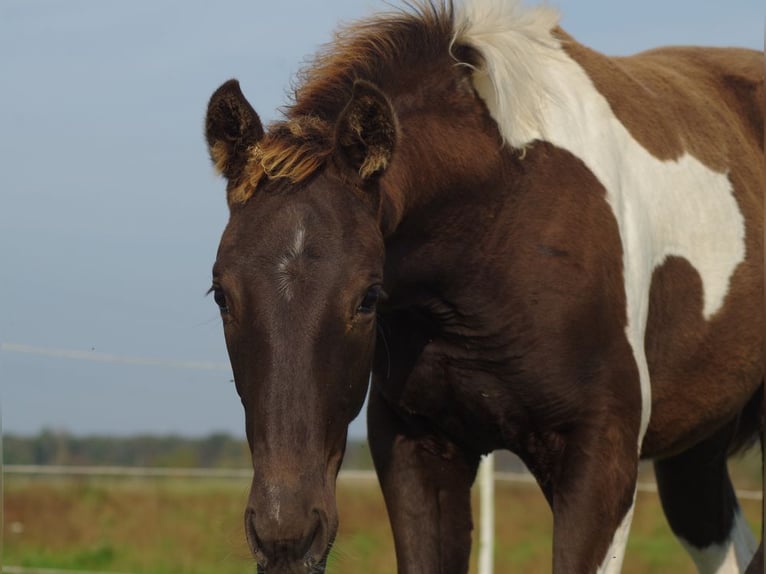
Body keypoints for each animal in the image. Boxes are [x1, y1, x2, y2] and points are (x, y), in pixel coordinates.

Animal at [207, 2, 764, 572]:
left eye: (367, 298)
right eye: (221, 294)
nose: (286, 536)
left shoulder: (602, 455)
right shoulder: (417, 448)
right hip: (695, 449)